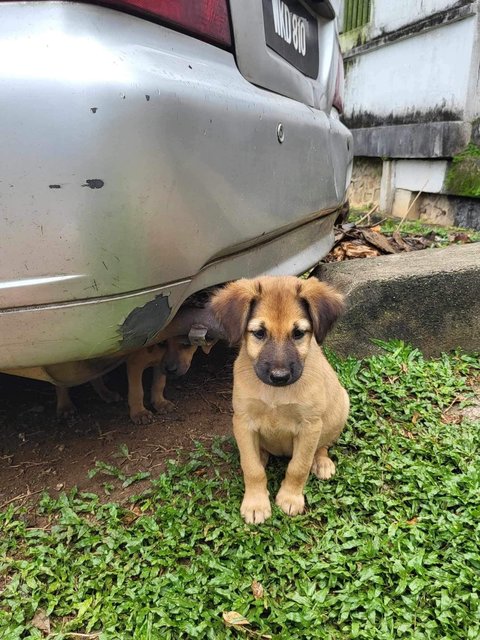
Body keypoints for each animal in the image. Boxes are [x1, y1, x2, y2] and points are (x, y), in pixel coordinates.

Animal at [212, 278, 350, 524]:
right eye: (259, 332)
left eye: (298, 333)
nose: (279, 376)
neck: (276, 394)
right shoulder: (243, 420)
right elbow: (252, 468)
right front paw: (256, 503)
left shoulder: (309, 426)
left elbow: (298, 466)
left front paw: (290, 498)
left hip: (340, 407)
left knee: (322, 446)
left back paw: (322, 462)